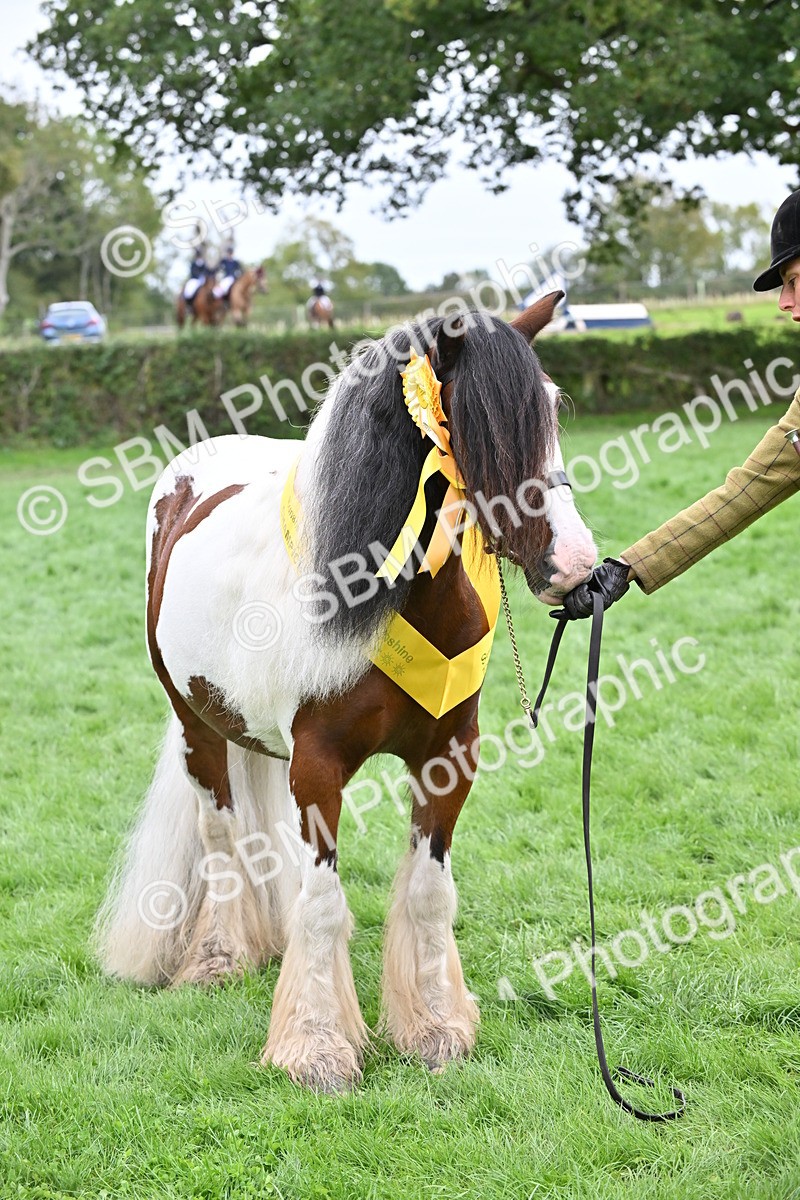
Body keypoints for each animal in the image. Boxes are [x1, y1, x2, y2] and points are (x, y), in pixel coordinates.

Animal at [96, 291, 597, 1092]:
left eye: (550, 407)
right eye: (473, 423)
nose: (577, 566)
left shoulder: (449, 759)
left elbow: (428, 891)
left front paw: (435, 1029)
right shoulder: (317, 768)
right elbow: (324, 902)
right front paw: (318, 1048)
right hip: (196, 725)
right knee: (220, 835)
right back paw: (219, 959)